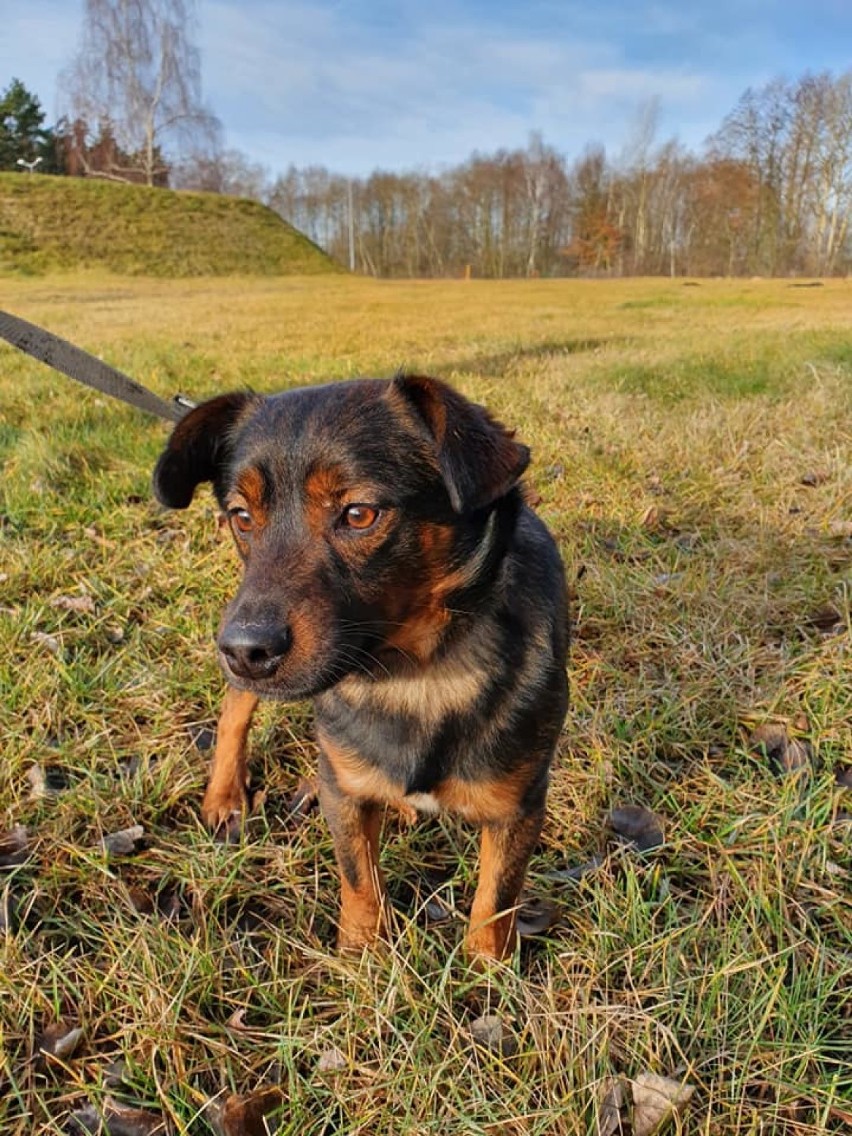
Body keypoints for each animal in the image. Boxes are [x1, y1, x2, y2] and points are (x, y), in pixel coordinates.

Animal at [155, 372, 568, 958]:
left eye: (358, 514)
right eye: (242, 517)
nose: (243, 651)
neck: (415, 673)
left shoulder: (519, 806)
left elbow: (495, 900)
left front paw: (487, 968)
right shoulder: (342, 788)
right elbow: (359, 878)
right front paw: (363, 954)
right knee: (234, 710)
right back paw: (225, 796)